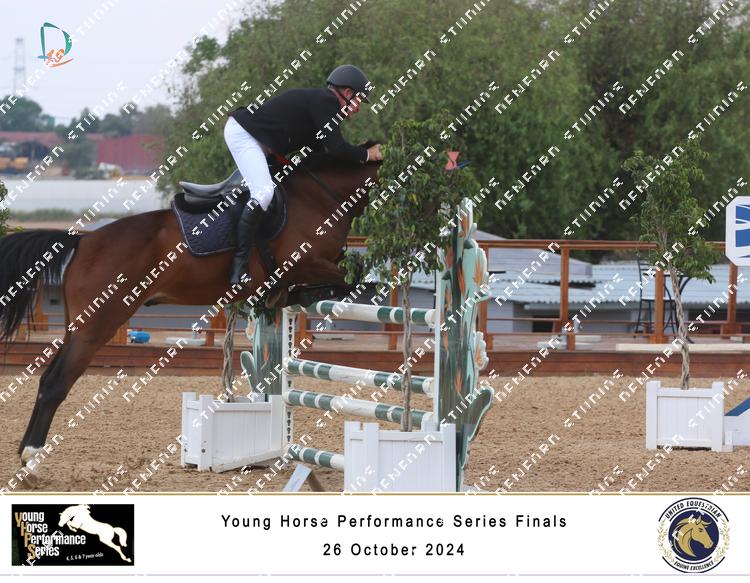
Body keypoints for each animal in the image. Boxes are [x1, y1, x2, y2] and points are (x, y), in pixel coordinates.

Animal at [0, 154, 381, 484]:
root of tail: (84, 240)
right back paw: (32, 458)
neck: (319, 194)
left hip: (78, 326)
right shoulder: (308, 261)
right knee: (56, 382)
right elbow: (349, 279)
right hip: (96, 325)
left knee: (47, 378)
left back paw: (26, 457)